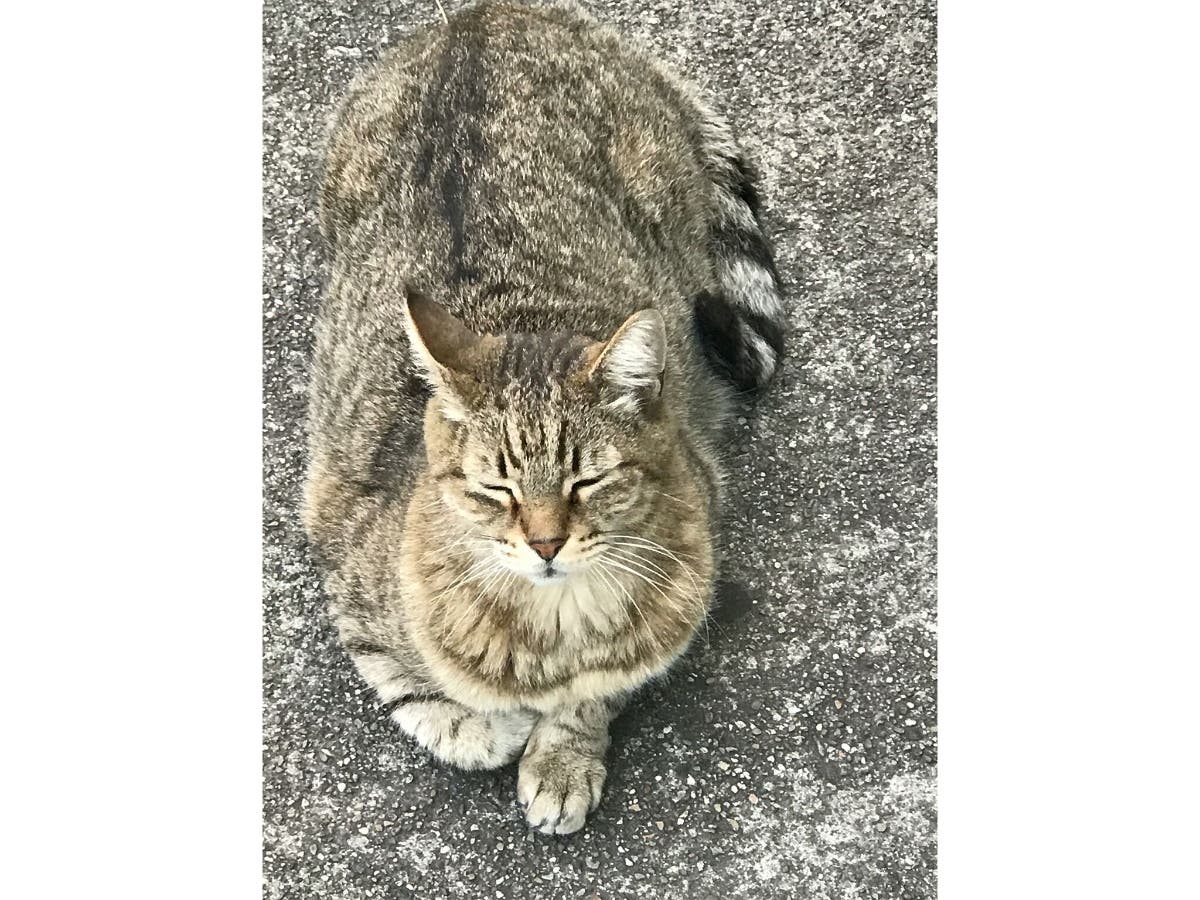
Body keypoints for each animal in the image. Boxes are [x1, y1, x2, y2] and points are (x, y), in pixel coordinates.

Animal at [304, 0, 782, 840]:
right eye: (494, 488)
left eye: (588, 480)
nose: (546, 542)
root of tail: (487, 14)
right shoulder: (339, 543)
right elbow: (415, 688)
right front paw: (477, 722)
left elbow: (597, 692)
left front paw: (563, 754)